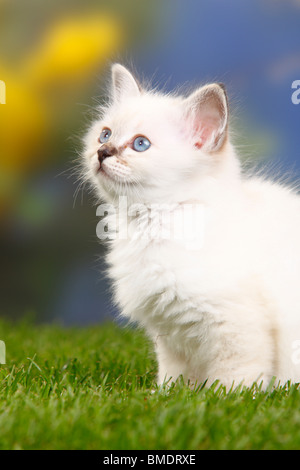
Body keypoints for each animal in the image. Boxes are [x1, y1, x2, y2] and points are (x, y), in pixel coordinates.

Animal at [82, 64, 300, 392]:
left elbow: (234, 382)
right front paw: (164, 396)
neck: (151, 227)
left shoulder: (237, 327)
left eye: (140, 144)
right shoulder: (170, 334)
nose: (103, 152)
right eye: (104, 135)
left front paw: (223, 398)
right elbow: (173, 378)